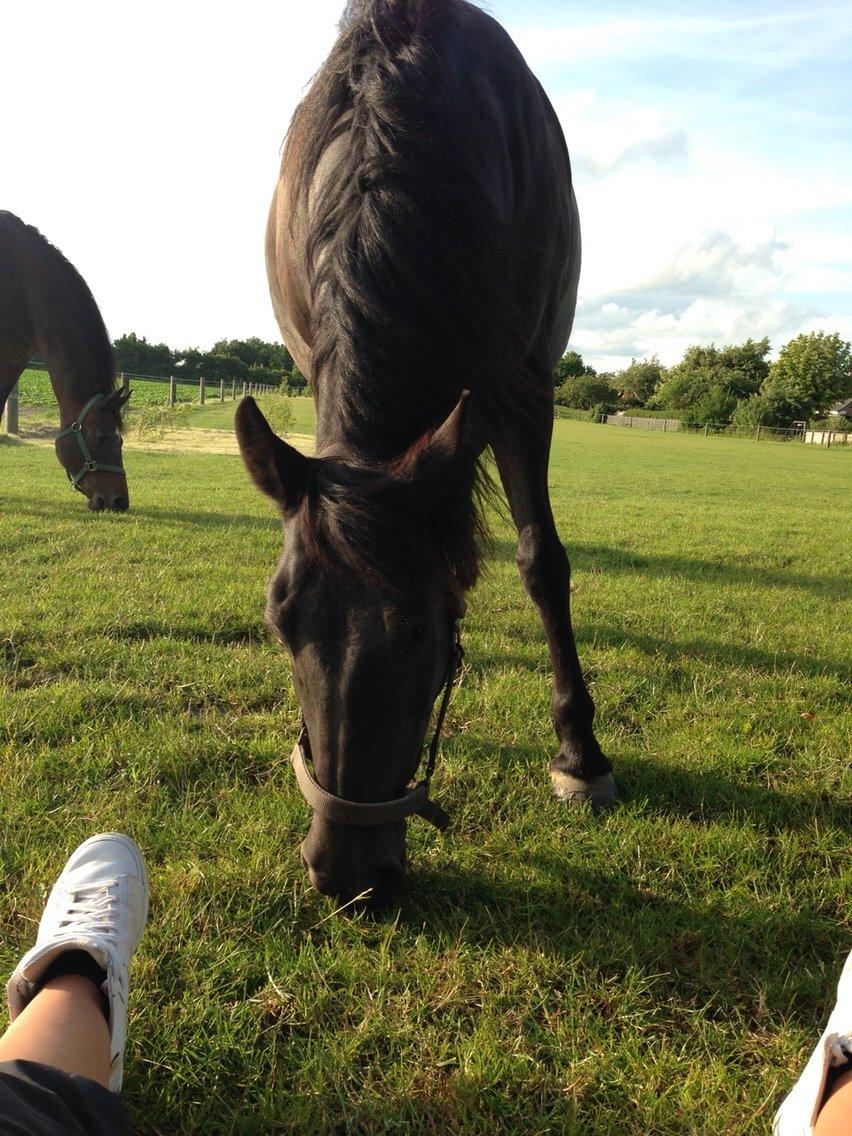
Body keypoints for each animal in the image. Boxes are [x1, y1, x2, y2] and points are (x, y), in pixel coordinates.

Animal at [236, 0, 618, 907]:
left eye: (422, 635)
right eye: (279, 622)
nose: (344, 873)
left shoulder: (523, 384)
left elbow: (541, 561)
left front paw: (580, 756)